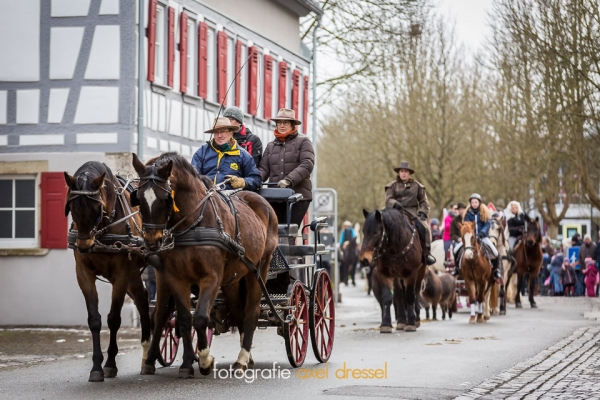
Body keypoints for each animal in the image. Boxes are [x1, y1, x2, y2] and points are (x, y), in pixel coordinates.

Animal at [63, 162, 151, 382]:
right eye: (72, 207)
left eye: (97, 208)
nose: (84, 246)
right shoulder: (84, 273)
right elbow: (94, 319)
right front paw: (96, 367)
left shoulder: (120, 275)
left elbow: (114, 319)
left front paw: (110, 364)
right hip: (133, 276)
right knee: (143, 301)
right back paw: (147, 355)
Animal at [132, 153, 278, 378]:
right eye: (138, 198)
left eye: (166, 199)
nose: (151, 241)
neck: (193, 223)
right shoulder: (176, 277)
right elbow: (184, 319)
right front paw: (186, 365)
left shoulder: (211, 278)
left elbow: (200, 318)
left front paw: (205, 360)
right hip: (232, 279)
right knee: (237, 312)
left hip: (259, 270)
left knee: (251, 313)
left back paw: (242, 359)